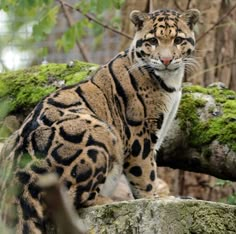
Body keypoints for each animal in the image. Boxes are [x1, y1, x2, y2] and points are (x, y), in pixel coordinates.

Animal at [0, 8, 199, 233]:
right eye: (153, 41)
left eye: (178, 40)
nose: (166, 60)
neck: (170, 81)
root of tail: (20, 183)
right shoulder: (140, 135)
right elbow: (145, 175)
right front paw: (155, 200)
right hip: (101, 133)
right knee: (75, 201)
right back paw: (112, 201)